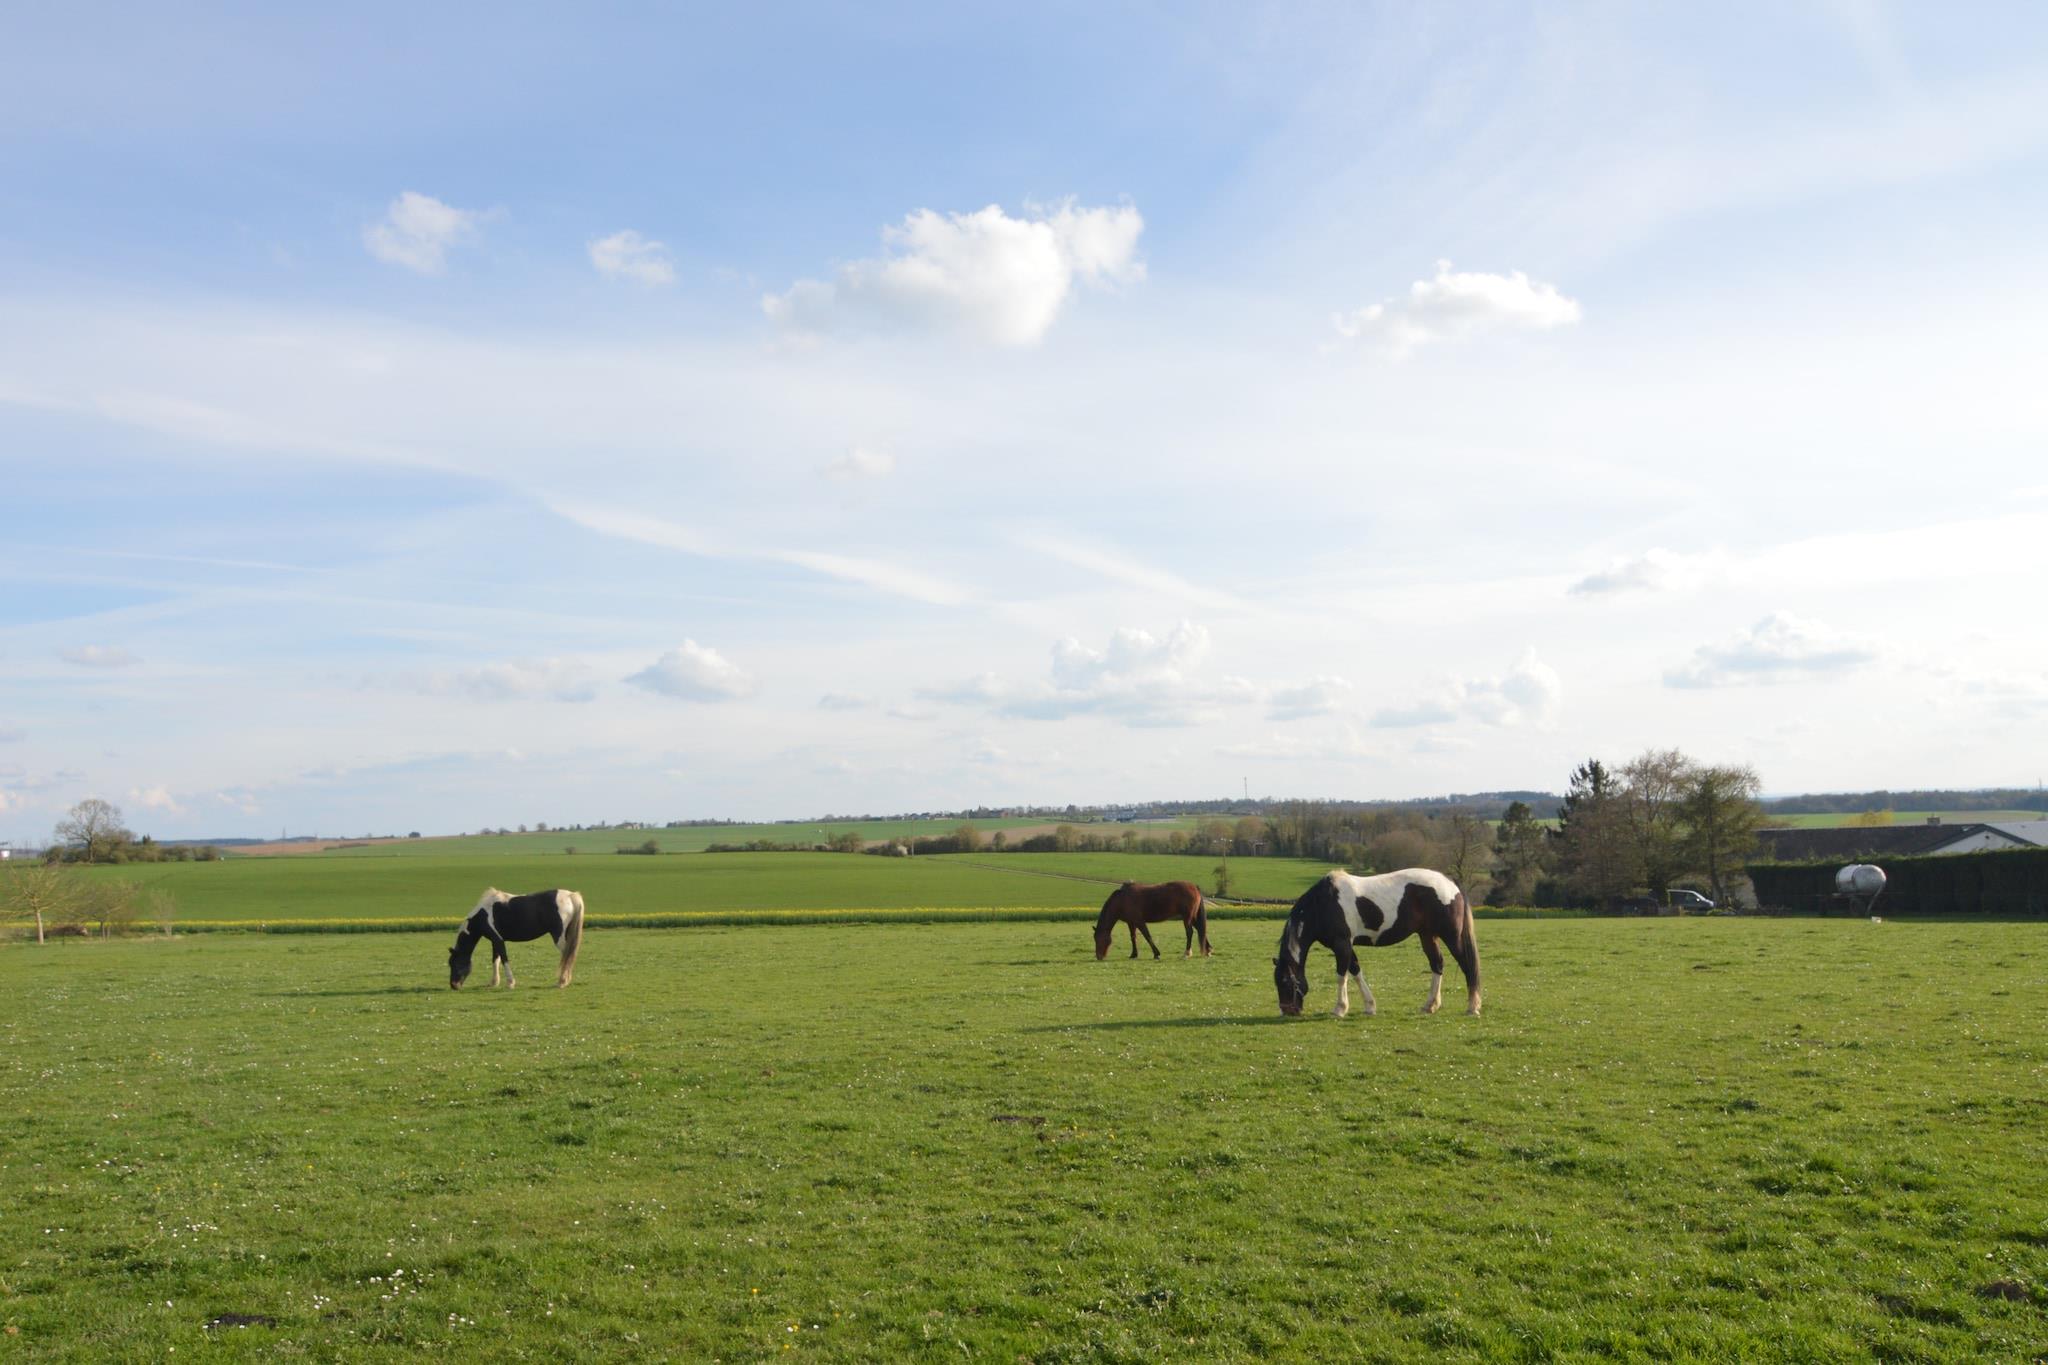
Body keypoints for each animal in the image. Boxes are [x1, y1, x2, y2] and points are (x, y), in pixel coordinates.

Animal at [449, 887, 585, 990]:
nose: (454, 985)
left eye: (456, 963)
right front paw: (494, 982)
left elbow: (504, 958)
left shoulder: (498, 940)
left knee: (567, 956)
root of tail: (571, 895)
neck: (483, 915)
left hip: (559, 937)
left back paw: (562, 981)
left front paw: (510, 982)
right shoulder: (495, 941)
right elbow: (495, 960)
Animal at [1271, 868, 1480, 1017]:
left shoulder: (1341, 944)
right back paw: (1430, 1006)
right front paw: (1370, 1006)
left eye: (1285, 981)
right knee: (1437, 964)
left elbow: (1341, 976)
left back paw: (1473, 1007)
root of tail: (1451, 884)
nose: (1287, 1011)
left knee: (1467, 966)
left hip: (1451, 937)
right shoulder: (1346, 946)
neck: (1324, 904)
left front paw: (1340, 1009)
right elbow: (1356, 972)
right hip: (1428, 936)